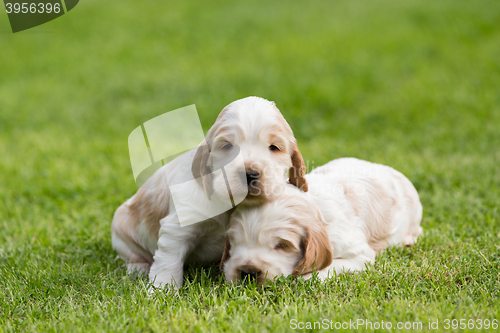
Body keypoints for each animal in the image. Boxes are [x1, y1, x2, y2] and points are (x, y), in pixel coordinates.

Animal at [112, 95, 308, 288]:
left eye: (274, 147)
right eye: (227, 146)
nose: (249, 174)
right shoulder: (177, 228)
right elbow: (168, 262)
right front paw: (162, 290)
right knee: (133, 257)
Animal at [222, 157, 422, 282]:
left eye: (283, 245)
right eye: (234, 242)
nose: (247, 272)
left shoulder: (360, 254)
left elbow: (333, 264)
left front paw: (306, 277)